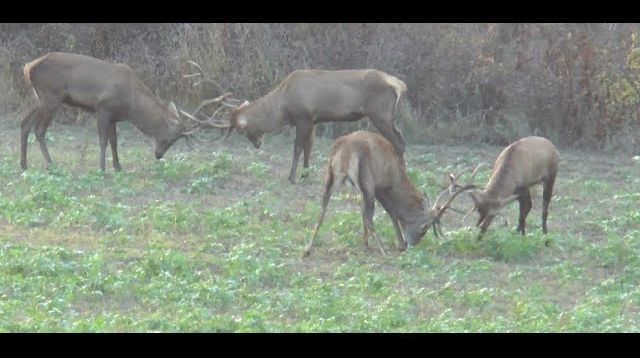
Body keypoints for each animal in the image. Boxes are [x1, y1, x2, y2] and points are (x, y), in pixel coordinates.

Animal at [18, 51, 218, 172]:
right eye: (169, 138)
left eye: (174, 141)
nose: (158, 155)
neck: (131, 105)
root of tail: (28, 67)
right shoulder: (102, 107)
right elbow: (103, 140)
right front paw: (102, 168)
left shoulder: (114, 116)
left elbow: (114, 141)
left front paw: (118, 166)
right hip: (51, 97)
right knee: (39, 129)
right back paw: (50, 163)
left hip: (41, 98)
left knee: (25, 122)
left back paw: (24, 164)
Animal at [182, 63, 408, 185]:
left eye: (242, 131)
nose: (257, 144)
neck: (283, 105)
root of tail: (399, 85)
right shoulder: (314, 120)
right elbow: (309, 147)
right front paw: (306, 174)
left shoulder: (303, 117)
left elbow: (298, 147)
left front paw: (291, 177)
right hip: (384, 115)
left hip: (380, 114)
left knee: (399, 142)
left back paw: (403, 174)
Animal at [302, 131, 478, 258]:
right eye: (425, 226)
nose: (411, 244)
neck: (397, 175)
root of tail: (344, 150)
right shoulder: (381, 186)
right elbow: (392, 213)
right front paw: (398, 243)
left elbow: (362, 213)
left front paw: (365, 244)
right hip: (366, 180)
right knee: (370, 218)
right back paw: (384, 252)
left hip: (330, 177)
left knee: (321, 213)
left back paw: (307, 249)